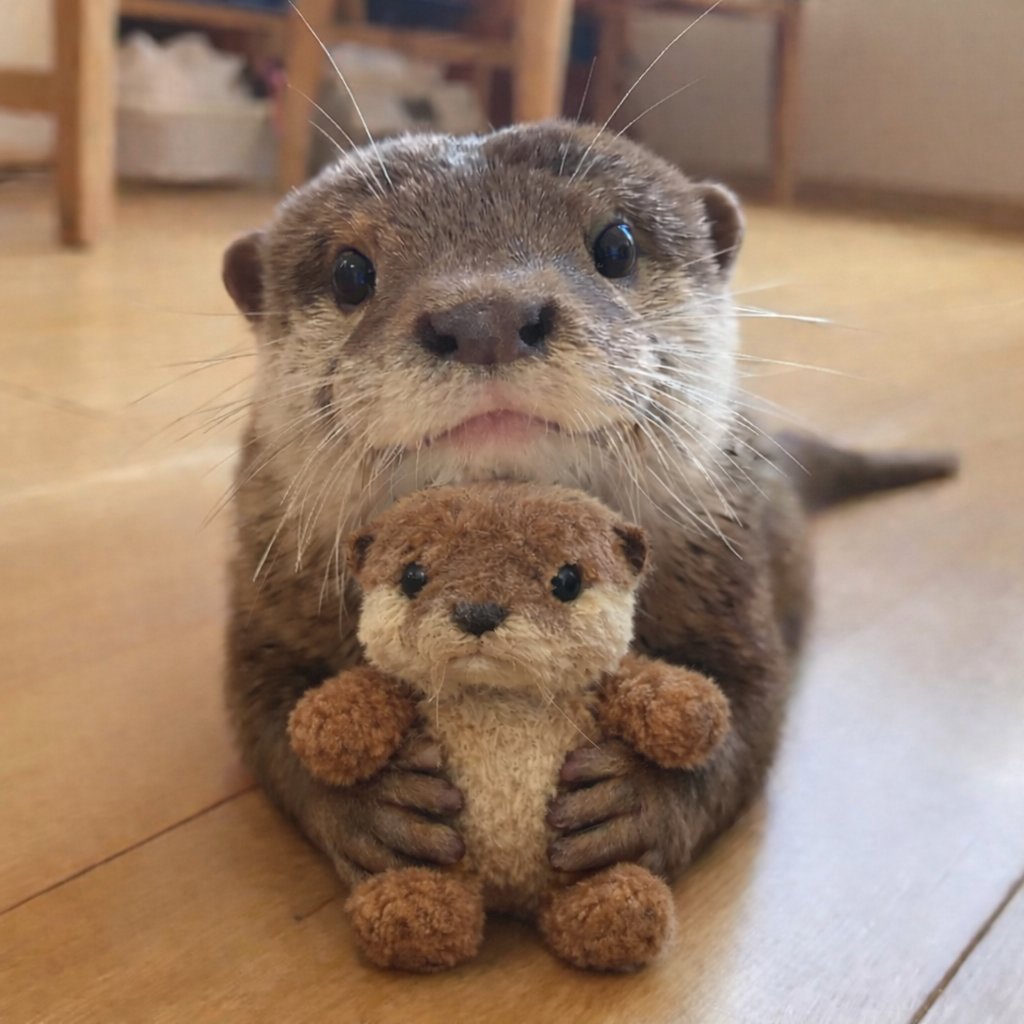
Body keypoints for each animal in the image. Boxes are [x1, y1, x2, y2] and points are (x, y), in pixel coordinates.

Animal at [221, 121, 954, 897]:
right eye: (350, 272)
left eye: (617, 245)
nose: (487, 318)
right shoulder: (269, 593)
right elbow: (263, 716)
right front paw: (369, 802)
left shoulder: (731, 578)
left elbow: (748, 708)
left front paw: (643, 801)